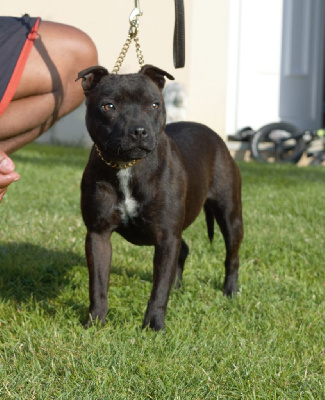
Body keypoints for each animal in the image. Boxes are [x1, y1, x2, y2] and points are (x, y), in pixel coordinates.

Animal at [76, 64, 243, 330]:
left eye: (154, 104)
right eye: (108, 106)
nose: (139, 131)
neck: (127, 166)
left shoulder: (166, 236)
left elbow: (158, 290)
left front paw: (153, 326)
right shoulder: (98, 234)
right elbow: (98, 285)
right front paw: (95, 322)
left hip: (230, 215)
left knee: (232, 256)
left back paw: (230, 291)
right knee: (183, 250)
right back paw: (178, 286)